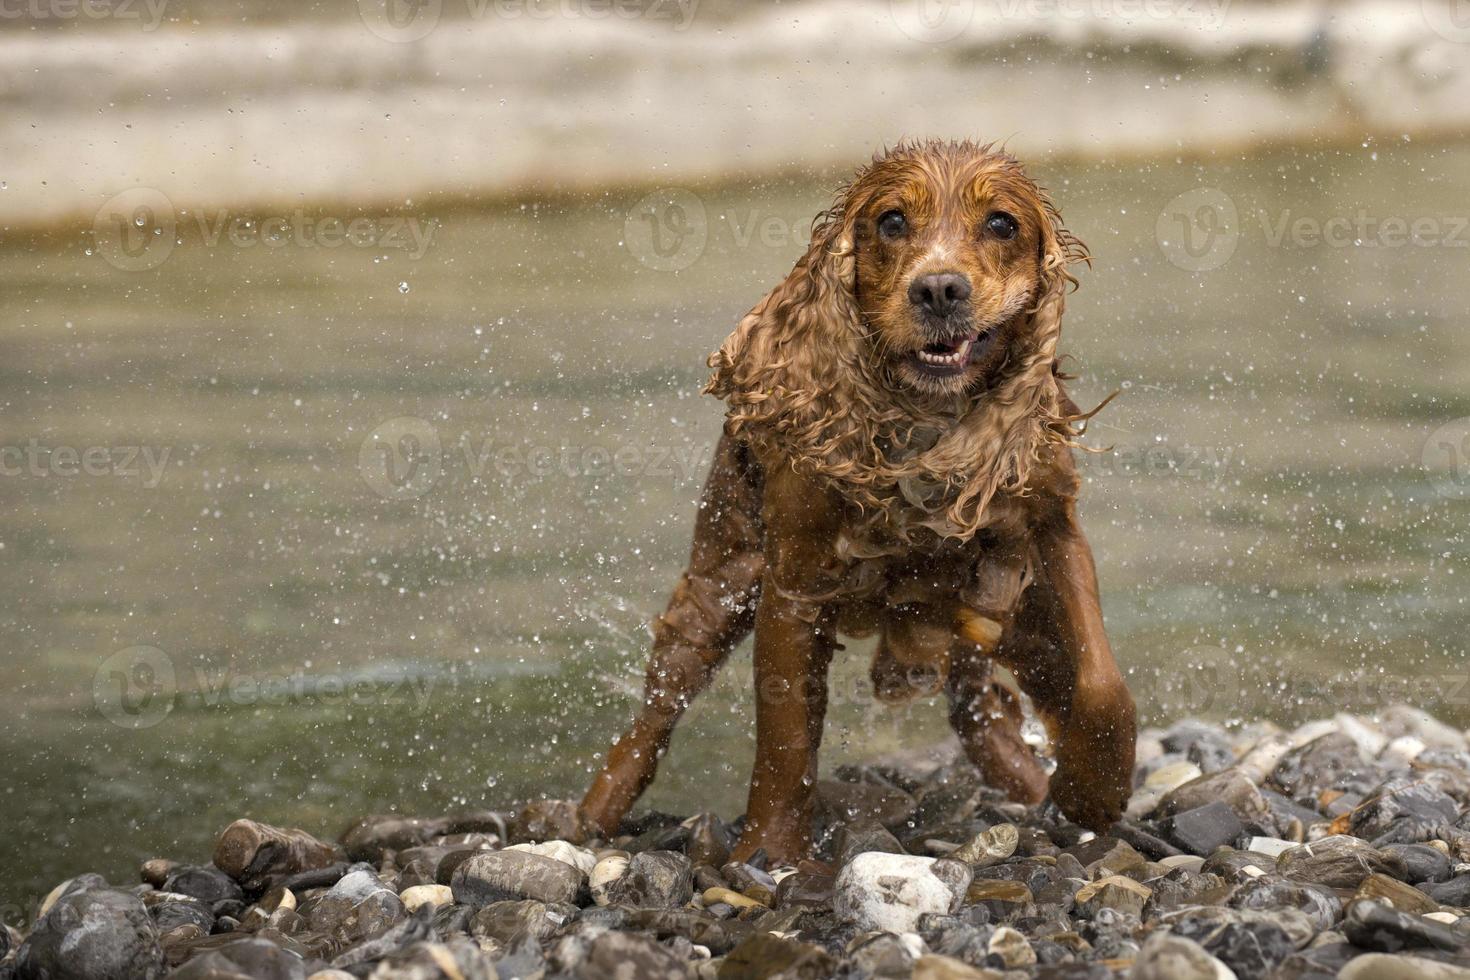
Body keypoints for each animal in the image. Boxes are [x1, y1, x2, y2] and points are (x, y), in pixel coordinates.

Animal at [579, 141, 1128, 863]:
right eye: (891, 221)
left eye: (1002, 224)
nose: (939, 288)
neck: (927, 422)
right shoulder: (795, 583)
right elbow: (786, 737)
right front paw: (771, 855)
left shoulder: (1052, 528)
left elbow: (1102, 680)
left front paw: (1096, 789)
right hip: (720, 580)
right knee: (656, 711)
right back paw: (583, 818)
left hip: (1002, 613)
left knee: (986, 699)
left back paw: (1028, 778)